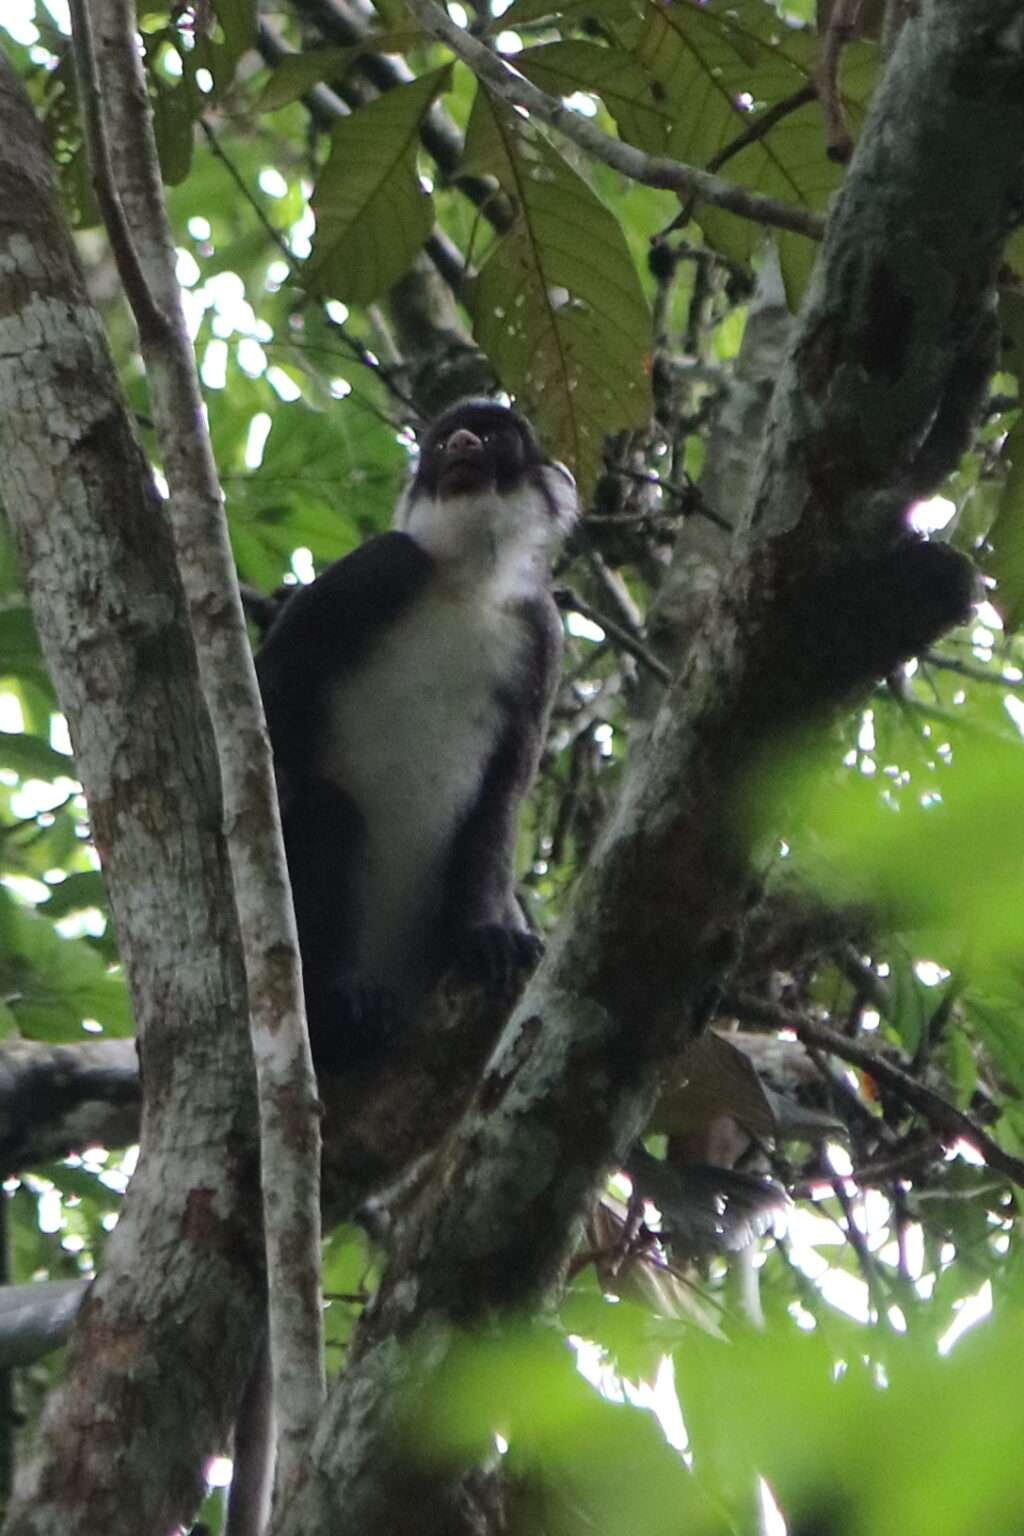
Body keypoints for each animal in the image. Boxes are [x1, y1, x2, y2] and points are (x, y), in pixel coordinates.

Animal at [254, 399, 577, 1069]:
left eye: (492, 436)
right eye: (441, 442)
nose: (461, 442)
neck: (467, 586)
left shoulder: (541, 630)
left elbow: (501, 798)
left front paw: (488, 939)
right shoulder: (383, 564)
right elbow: (263, 694)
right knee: (330, 813)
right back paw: (343, 1005)